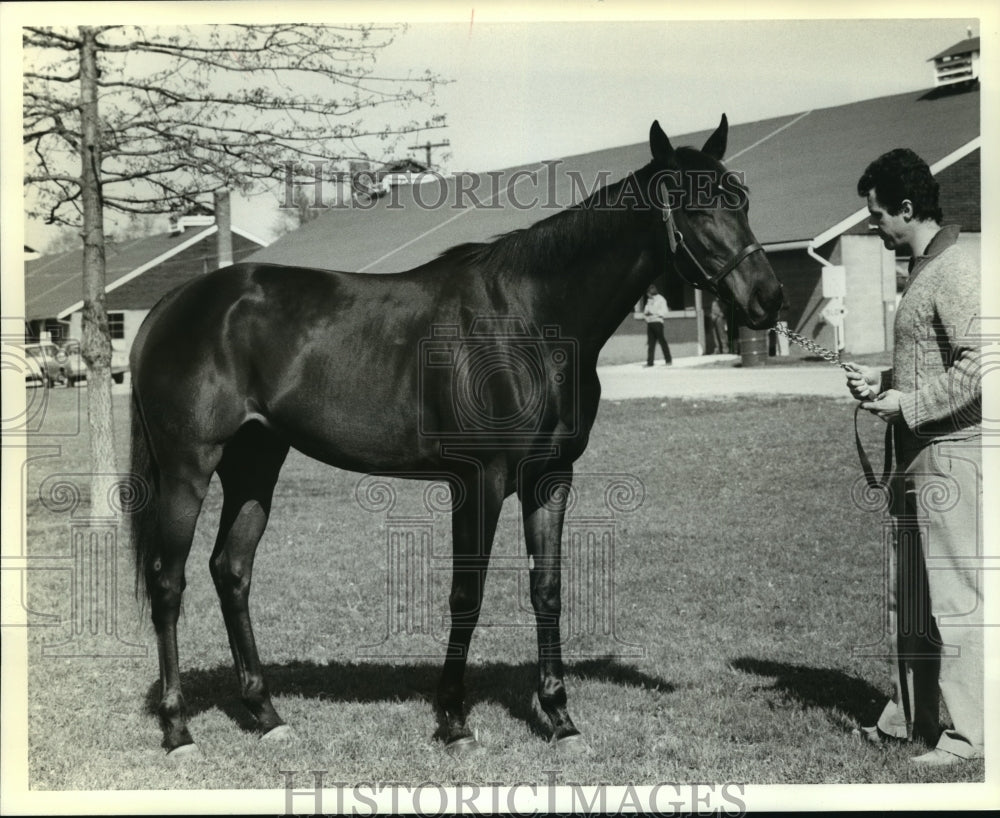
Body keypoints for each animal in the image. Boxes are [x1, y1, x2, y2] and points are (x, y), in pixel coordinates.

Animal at [129, 115, 780, 752]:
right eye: (695, 207)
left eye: (742, 199)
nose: (768, 298)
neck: (528, 323)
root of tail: (172, 304)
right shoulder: (479, 479)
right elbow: (467, 594)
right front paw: (453, 720)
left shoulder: (551, 477)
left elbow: (547, 589)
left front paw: (559, 718)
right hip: (189, 467)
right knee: (168, 582)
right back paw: (179, 728)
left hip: (255, 462)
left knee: (231, 571)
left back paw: (266, 714)